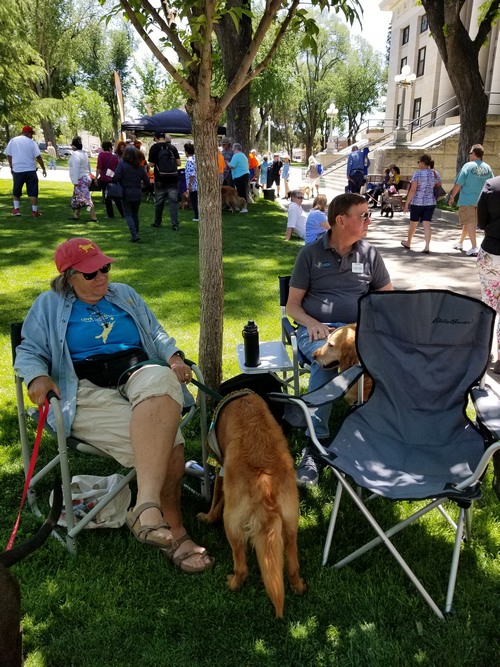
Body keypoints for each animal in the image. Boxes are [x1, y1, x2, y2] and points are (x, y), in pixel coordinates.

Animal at [197, 392, 306, 618]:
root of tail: (265, 482)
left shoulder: (219, 465)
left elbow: (216, 497)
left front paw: (207, 517)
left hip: (232, 523)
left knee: (242, 567)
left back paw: (233, 583)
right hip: (291, 524)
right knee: (292, 565)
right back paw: (298, 587)